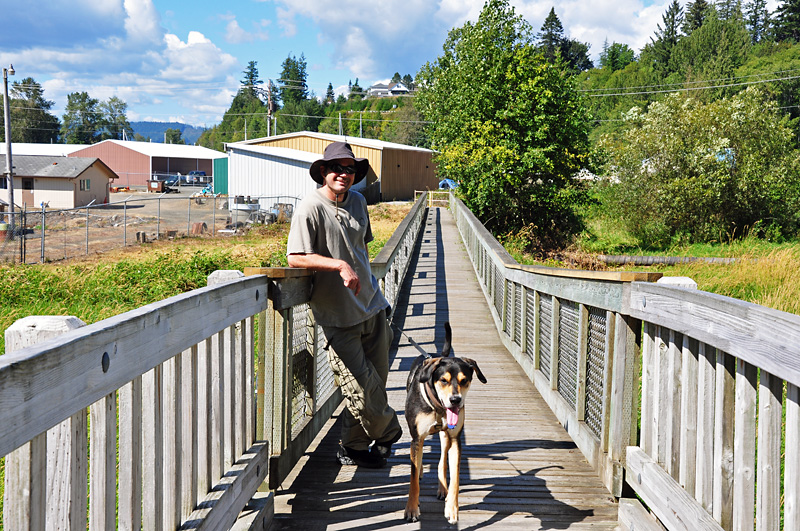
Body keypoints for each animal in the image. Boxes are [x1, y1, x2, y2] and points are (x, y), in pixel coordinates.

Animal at [406, 320, 488, 524]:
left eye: (464, 380)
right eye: (443, 380)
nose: (455, 400)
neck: (438, 407)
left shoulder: (456, 439)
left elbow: (455, 477)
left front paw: (452, 508)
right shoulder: (416, 437)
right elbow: (413, 476)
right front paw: (411, 509)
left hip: (445, 436)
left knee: (442, 460)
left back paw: (442, 488)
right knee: (420, 460)